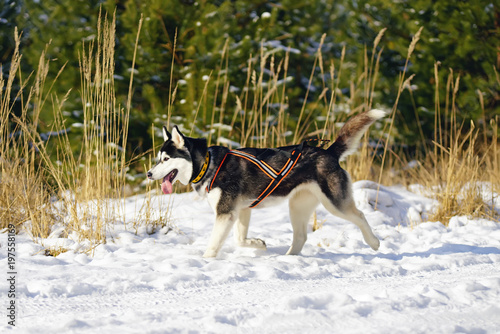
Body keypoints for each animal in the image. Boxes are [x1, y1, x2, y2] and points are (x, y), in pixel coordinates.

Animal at [146, 109, 384, 258]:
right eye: (158, 159)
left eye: (165, 159)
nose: (148, 174)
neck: (208, 164)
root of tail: (328, 152)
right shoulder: (241, 210)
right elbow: (239, 239)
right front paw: (257, 244)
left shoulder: (226, 213)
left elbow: (215, 243)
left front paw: (206, 260)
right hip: (297, 206)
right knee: (301, 236)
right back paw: (288, 258)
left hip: (334, 203)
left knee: (360, 216)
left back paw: (374, 242)